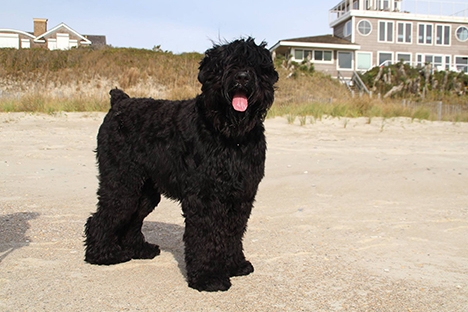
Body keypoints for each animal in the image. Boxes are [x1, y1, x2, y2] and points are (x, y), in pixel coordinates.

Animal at [84, 37, 278, 292]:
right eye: (226, 63)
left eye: (256, 64)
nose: (243, 76)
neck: (230, 136)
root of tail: (119, 102)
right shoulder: (204, 197)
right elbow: (205, 237)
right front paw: (208, 277)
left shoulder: (241, 196)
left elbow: (232, 231)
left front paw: (234, 265)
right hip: (122, 181)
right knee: (103, 215)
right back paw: (103, 254)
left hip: (144, 191)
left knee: (133, 217)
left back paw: (138, 249)